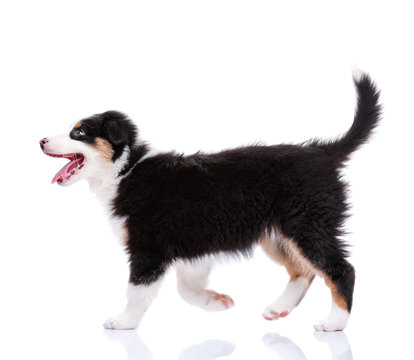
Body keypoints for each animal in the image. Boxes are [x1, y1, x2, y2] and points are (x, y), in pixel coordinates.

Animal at [39, 72, 382, 332]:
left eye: (79, 132)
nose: (41, 140)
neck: (126, 168)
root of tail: (323, 152)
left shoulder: (148, 246)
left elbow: (137, 289)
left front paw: (123, 322)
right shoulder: (194, 245)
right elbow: (185, 287)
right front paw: (215, 302)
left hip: (308, 224)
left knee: (341, 269)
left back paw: (334, 323)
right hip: (277, 233)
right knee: (303, 271)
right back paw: (279, 309)